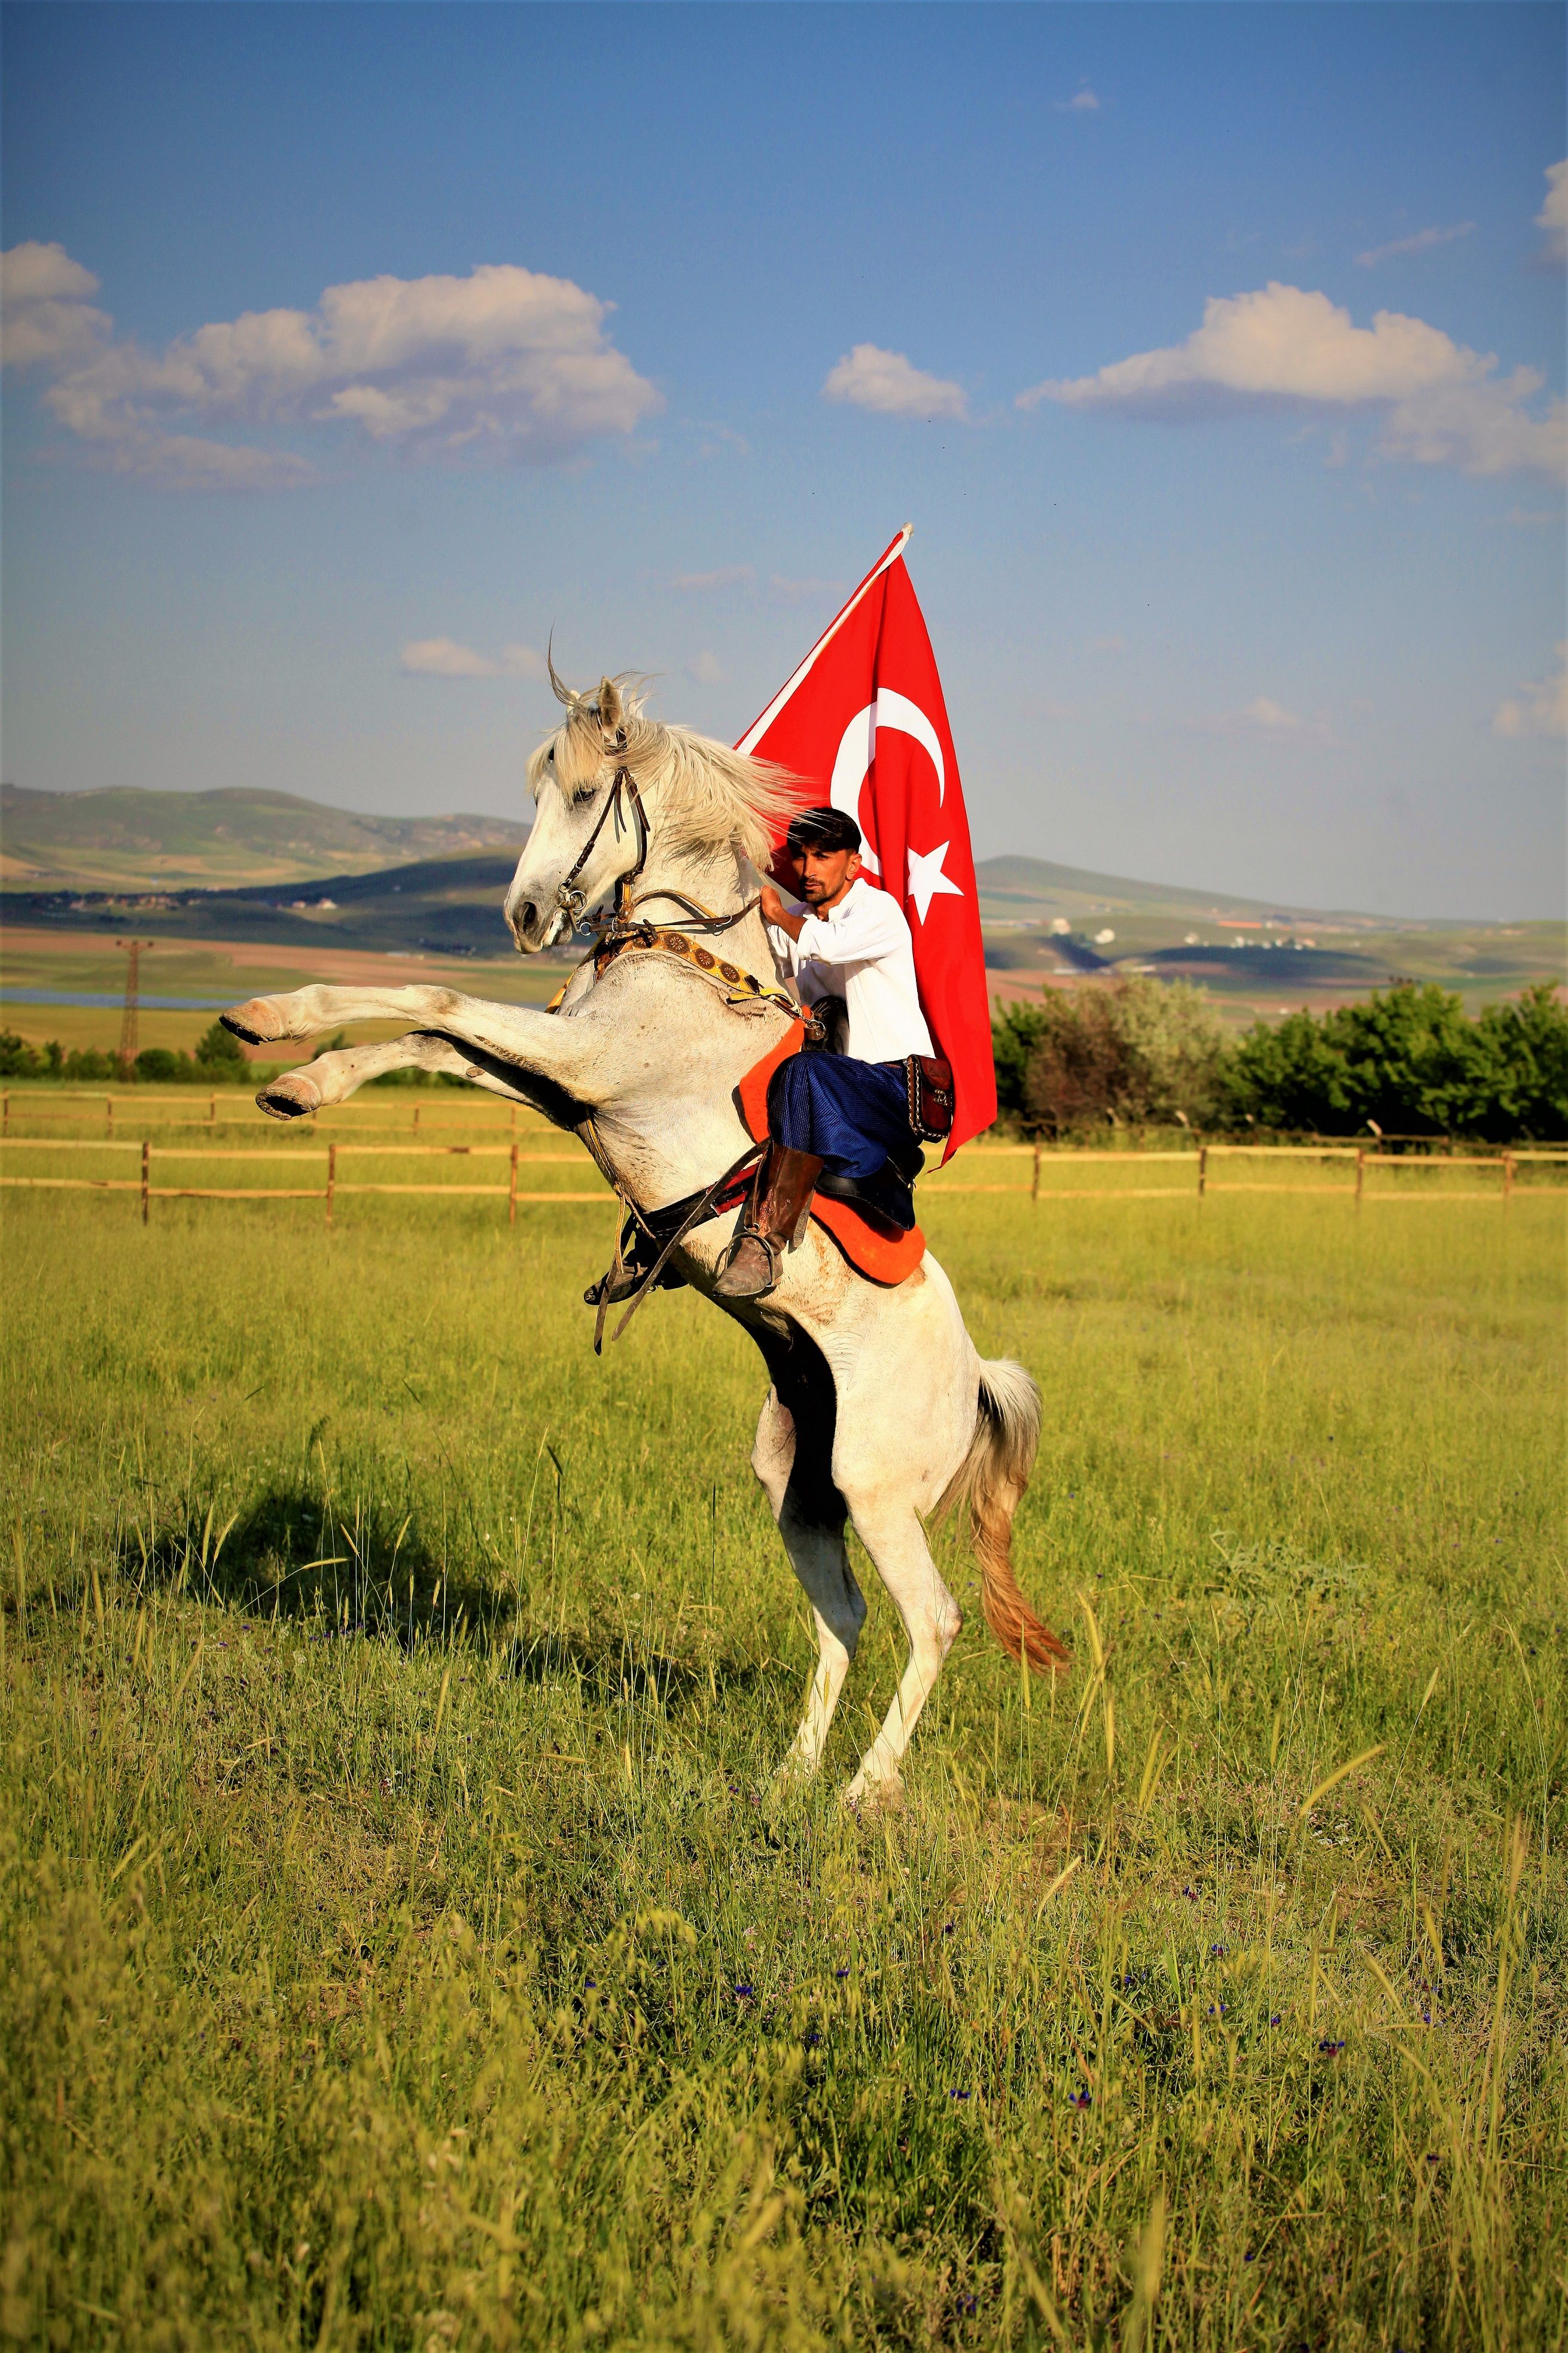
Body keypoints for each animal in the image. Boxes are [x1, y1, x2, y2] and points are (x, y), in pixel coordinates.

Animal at [221, 670, 1069, 1807]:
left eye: (584, 793)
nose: (526, 916)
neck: (688, 960)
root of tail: (976, 1378)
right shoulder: (558, 1080)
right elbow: (431, 1038)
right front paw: (297, 1076)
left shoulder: (581, 1065)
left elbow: (432, 999)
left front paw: (272, 1021)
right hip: (799, 1485)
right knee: (841, 1620)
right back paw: (789, 1778)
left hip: (878, 1492)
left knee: (932, 1621)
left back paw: (862, 1792)